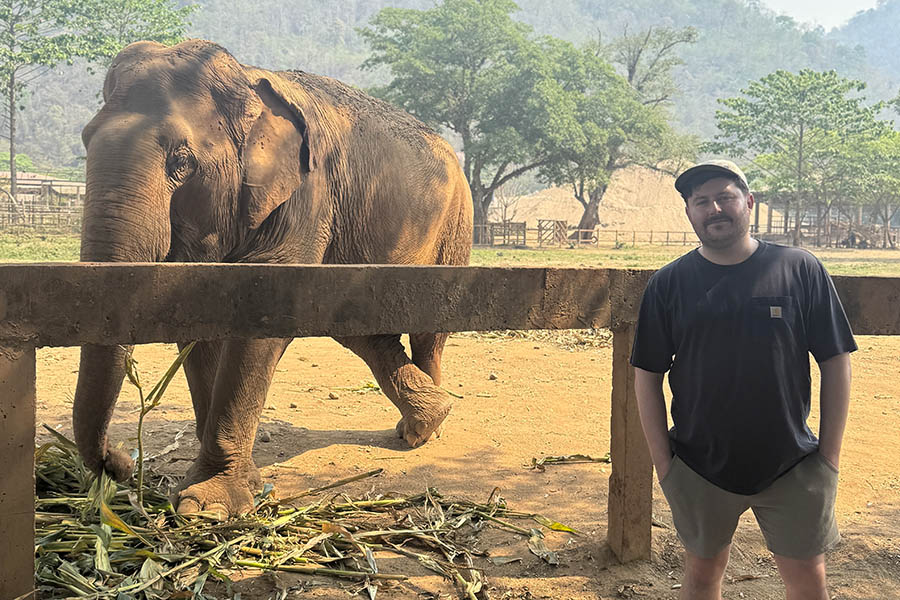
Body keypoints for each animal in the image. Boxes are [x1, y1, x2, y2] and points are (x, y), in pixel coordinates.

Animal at [74, 39, 473, 518]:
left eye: (182, 161)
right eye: (85, 138)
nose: (121, 462)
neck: (246, 79)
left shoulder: (305, 195)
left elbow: (260, 320)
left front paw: (206, 505)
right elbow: (203, 319)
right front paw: (222, 483)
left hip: (455, 225)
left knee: (430, 327)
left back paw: (427, 431)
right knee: (358, 328)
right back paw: (424, 419)